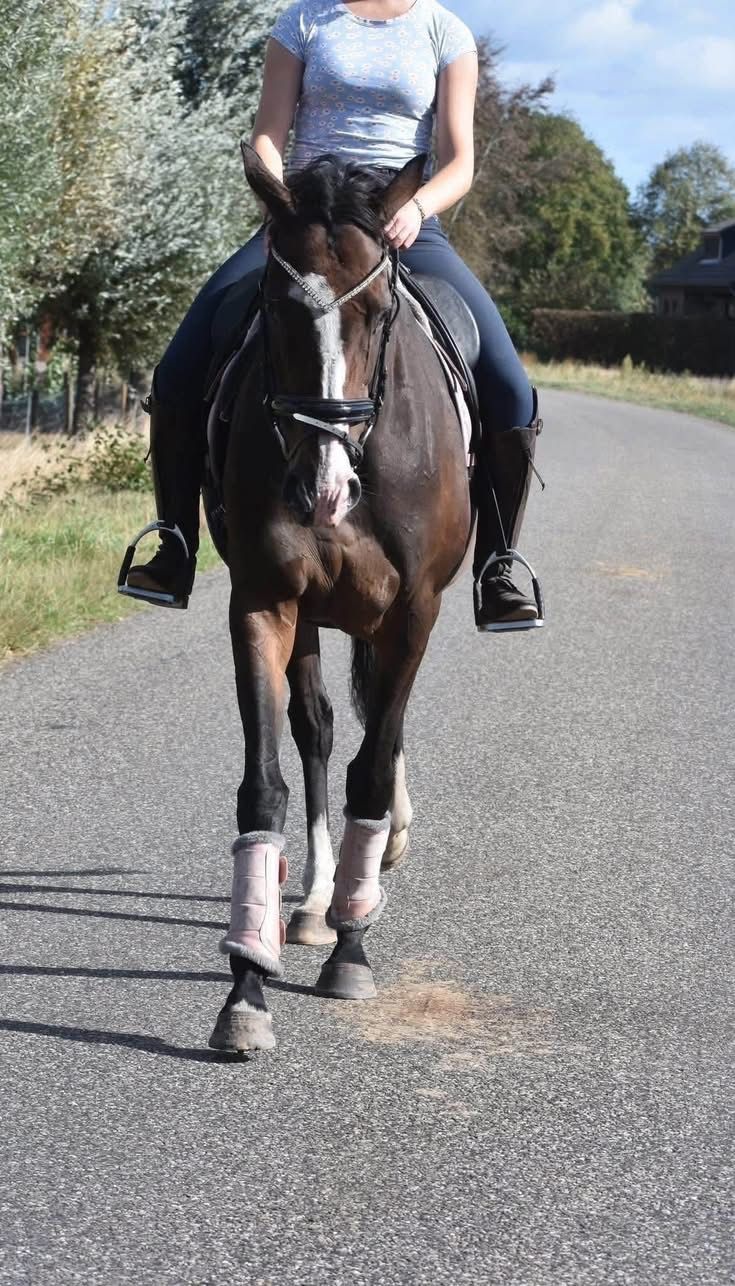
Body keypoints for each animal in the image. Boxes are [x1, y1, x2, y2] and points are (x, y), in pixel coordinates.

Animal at [207, 145, 473, 1053]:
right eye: (273, 309)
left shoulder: (413, 612)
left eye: (381, 308)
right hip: (317, 619)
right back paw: (317, 901)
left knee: (373, 741)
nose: (322, 490)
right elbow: (267, 782)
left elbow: (370, 769)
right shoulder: (264, 602)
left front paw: (353, 951)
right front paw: (247, 988)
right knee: (319, 729)